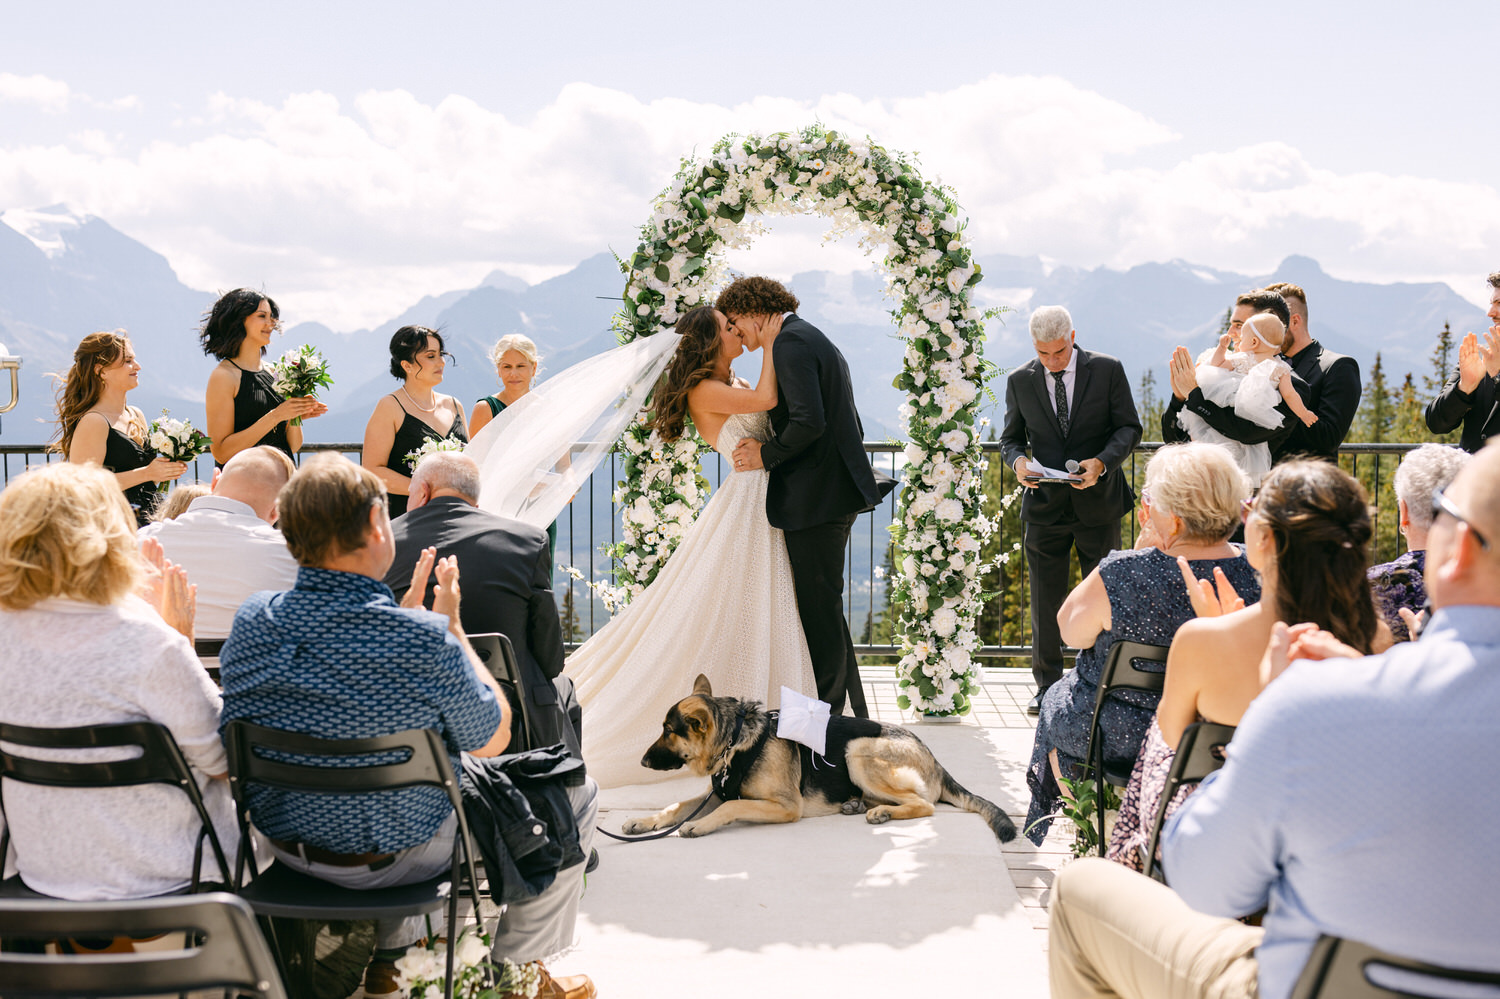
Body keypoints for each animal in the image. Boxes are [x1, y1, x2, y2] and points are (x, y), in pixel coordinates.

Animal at [621, 669, 1020, 840]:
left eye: (668, 732)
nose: (641, 762)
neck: (736, 743)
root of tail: (934, 758)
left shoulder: (785, 806)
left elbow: (731, 807)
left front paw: (697, 826)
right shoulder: (714, 793)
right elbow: (674, 806)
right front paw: (643, 821)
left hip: (857, 750)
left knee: (925, 804)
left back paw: (879, 813)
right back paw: (859, 805)